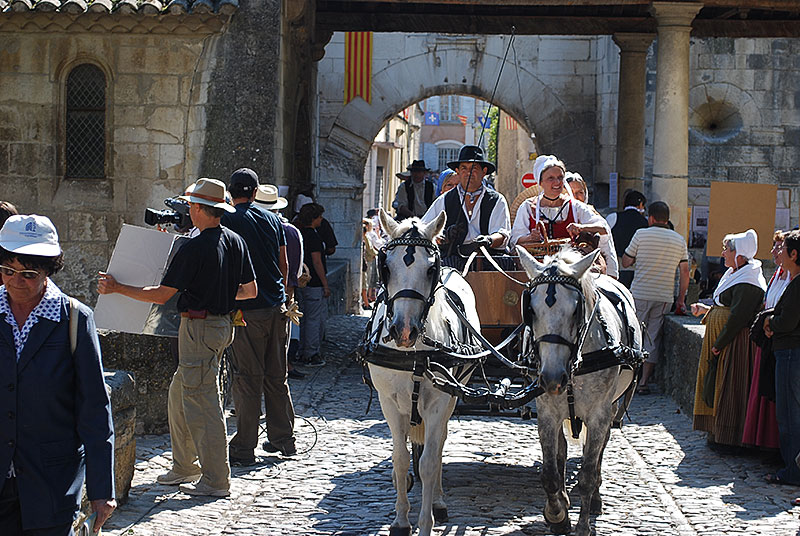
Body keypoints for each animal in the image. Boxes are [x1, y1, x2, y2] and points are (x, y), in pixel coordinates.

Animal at [364, 208, 478, 536]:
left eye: (430, 270)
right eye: (386, 267)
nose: (403, 331)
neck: (412, 354)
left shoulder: (440, 401)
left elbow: (428, 461)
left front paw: (425, 522)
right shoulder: (389, 403)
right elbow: (401, 459)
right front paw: (401, 520)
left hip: (453, 394)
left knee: (438, 445)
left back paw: (438, 501)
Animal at [520, 247, 644, 536]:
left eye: (576, 309)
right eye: (530, 309)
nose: (552, 378)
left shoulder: (599, 414)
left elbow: (588, 471)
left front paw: (583, 524)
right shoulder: (547, 413)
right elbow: (550, 472)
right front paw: (557, 515)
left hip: (611, 408)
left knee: (598, 451)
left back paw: (595, 498)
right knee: (562, 452)